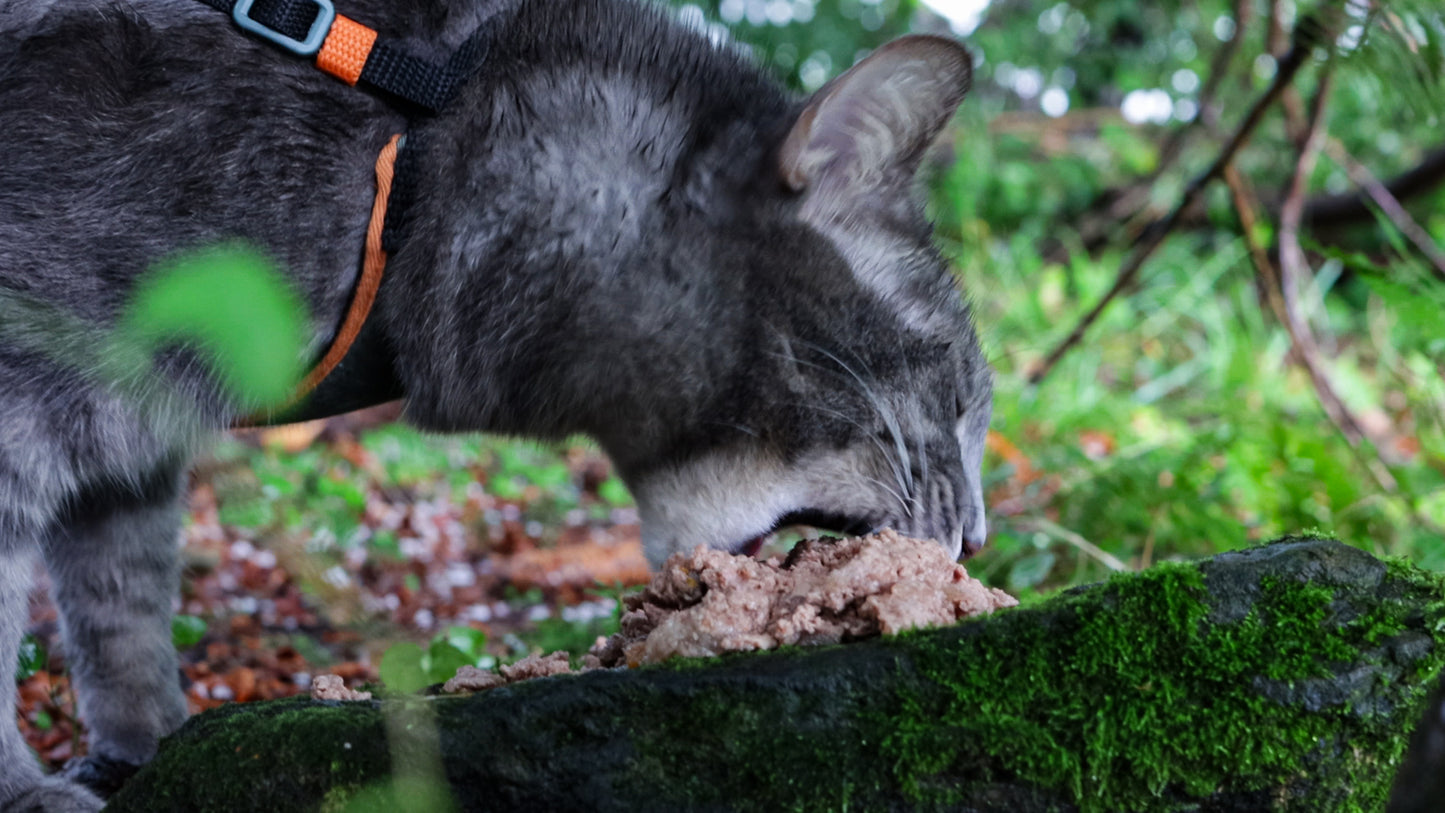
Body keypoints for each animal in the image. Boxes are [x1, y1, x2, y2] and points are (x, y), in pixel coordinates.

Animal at [0, 0, 988, 808]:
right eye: (959, 395)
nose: (979, 538)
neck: (427, 151)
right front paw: (21, 787)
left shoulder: (130, 443)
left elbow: (121, 600)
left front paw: (145, 748)